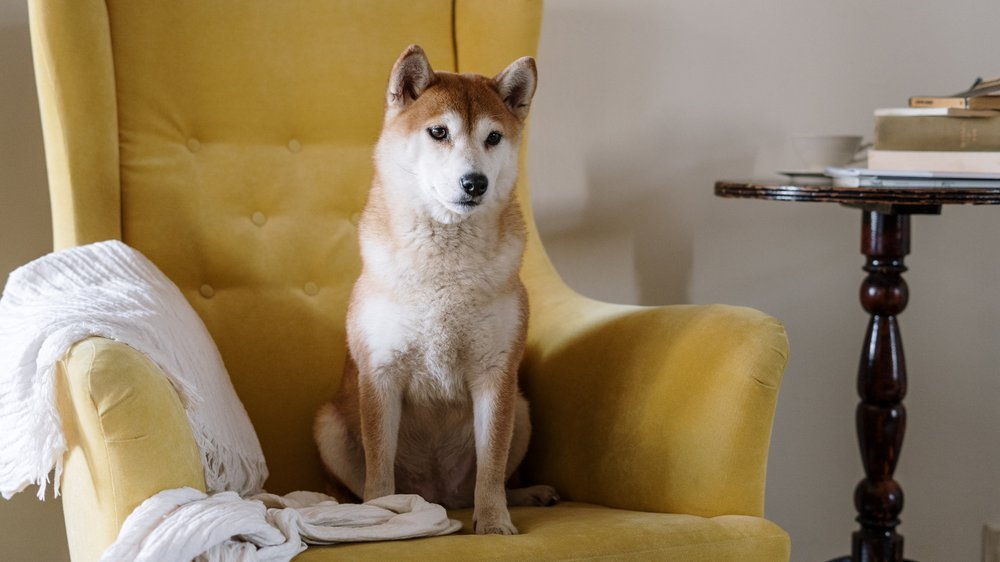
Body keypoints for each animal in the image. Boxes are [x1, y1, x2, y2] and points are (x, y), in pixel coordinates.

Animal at [314, 44, 560, 532]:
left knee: (483, 482)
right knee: (355, 487)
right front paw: (382, 514)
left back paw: (525, 495)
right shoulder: (381, 375)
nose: (475, 182)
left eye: (493, 137)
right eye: (439, 132)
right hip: (328, 426)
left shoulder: (495, 375)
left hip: (522, 411)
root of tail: (438, 496)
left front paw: (494, 522)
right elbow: (379, 467)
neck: (445, 268)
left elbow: (491, 465)